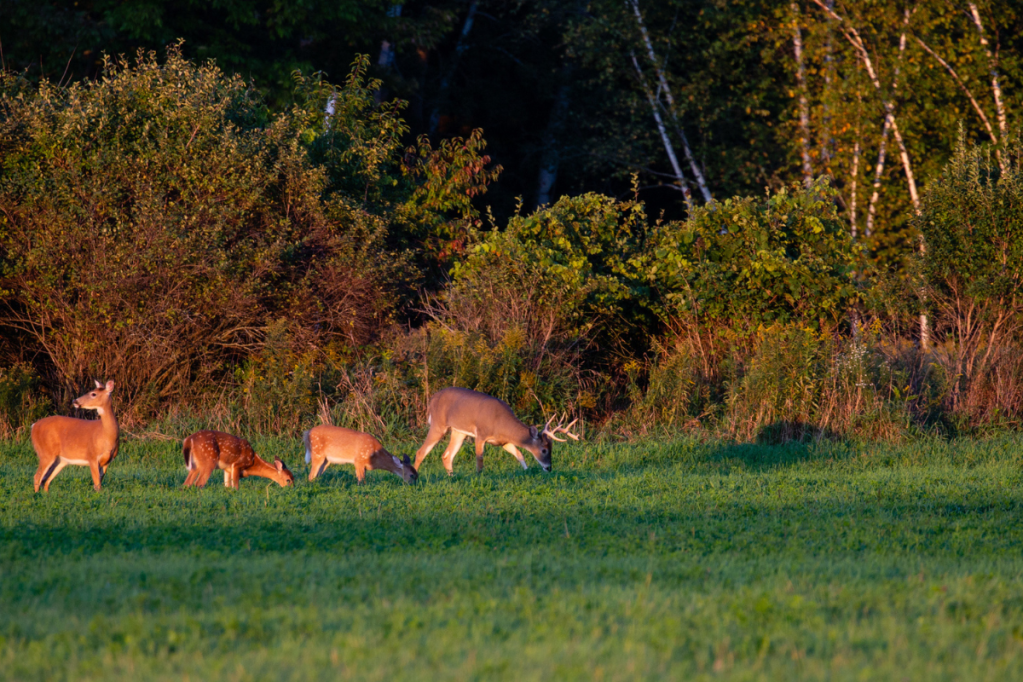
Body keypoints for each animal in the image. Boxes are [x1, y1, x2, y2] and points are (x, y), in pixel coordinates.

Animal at [411, 386, 581, 478]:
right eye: (544, 450)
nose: (549, 468)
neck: (501, 423)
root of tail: (432, 399)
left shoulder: (504, 442)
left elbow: (519, 454)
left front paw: (527, 471)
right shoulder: (481, 434)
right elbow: (480, 458)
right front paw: (479, 476)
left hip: (458, 432)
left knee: (447, 455)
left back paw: (452, 477)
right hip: (438, 425)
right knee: (421, 452)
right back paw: (414, 477)